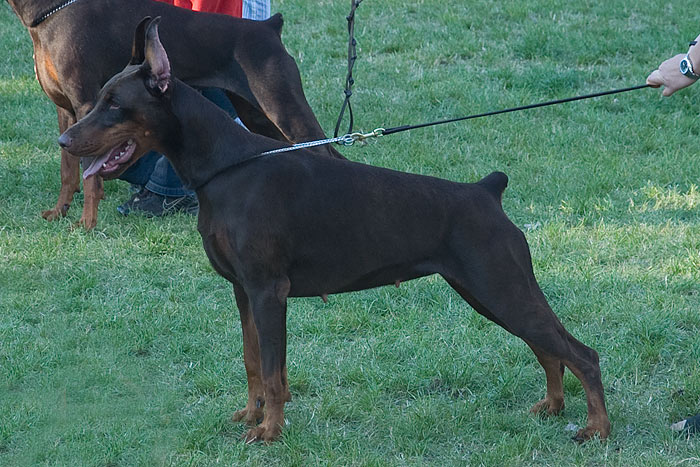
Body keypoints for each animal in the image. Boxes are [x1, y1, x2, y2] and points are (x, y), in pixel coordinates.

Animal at [6, 0, 343, 229]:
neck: (52, 13)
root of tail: (268, 27)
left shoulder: (85, 104)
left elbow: (91, 175)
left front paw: (87, 223)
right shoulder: (66, 112)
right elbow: (68, 169)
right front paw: (59, 212)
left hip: (283, 108)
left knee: (326, 152)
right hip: (258, 115)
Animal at [59, 18, 611, 443]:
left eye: (115, 102)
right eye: (101, 96)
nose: (64, 139)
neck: (224, 167)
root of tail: (486, 191)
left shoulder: (268, 290)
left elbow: (275, 372)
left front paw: (269, 432)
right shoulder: (242, 290)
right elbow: (253, 362)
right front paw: (251, 417)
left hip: (500, 284)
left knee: (581, 353)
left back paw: (597, 429)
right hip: (485, 292)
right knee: (547, 348)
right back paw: (552, 408)